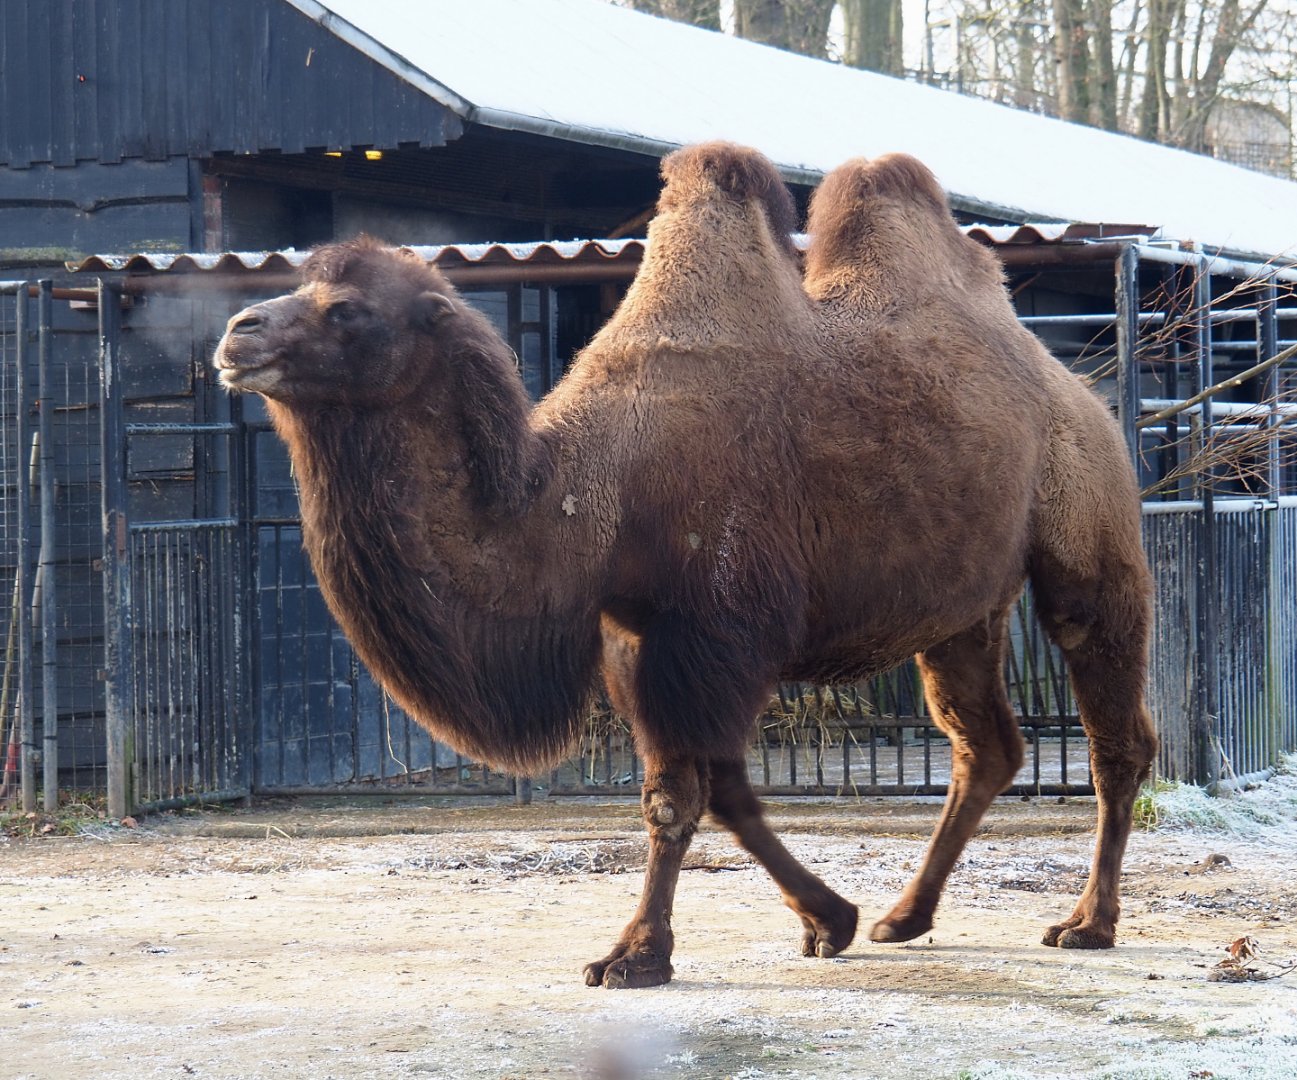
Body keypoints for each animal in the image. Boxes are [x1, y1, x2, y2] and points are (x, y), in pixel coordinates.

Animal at [213, 141, 1157, 989]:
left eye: (348, 310)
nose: (236, 331)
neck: (592, 495)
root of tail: (1077, 389)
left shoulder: (714, 629)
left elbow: (678, 797)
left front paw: (635, 957)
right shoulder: (642, 640)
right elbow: (721, 789)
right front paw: (829, 919)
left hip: (1090, 534)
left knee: (1115, 730)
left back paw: (1086, 923)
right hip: (959, 609)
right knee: (984, 744)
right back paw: (904, 914)